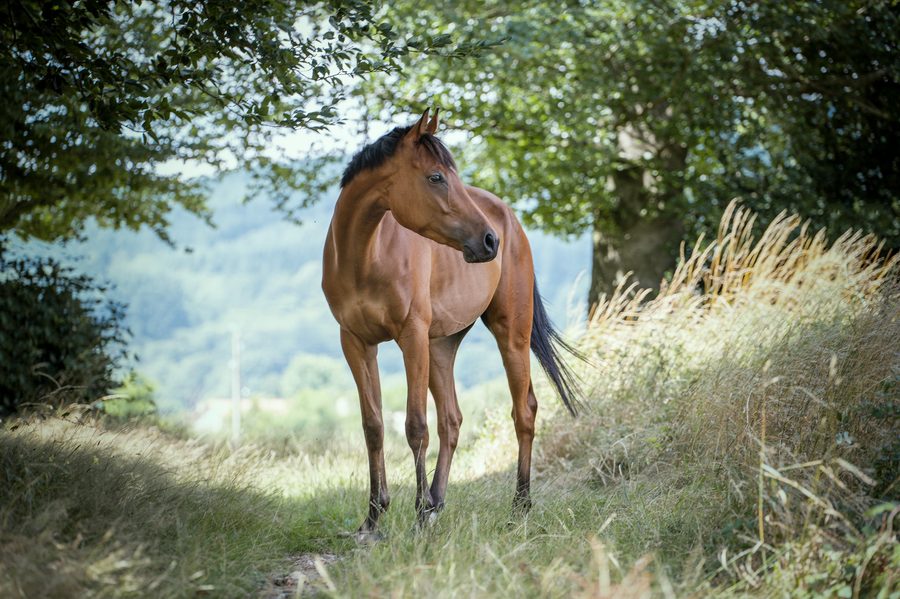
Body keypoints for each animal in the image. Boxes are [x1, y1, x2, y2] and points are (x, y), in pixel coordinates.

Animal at [321, 108, 580, 539]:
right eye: (436, 177)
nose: (489, 241)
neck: (366, 255)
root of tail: (509, 219)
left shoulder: (411, 338)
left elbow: (414, 426)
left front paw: (412, 517)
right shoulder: (355, 342)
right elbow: (373, 426)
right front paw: (373, 518)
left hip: (510, 334)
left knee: (523, 410)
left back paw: (519, 506)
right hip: (441, 346)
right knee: (452, 420)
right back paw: (435, 504)